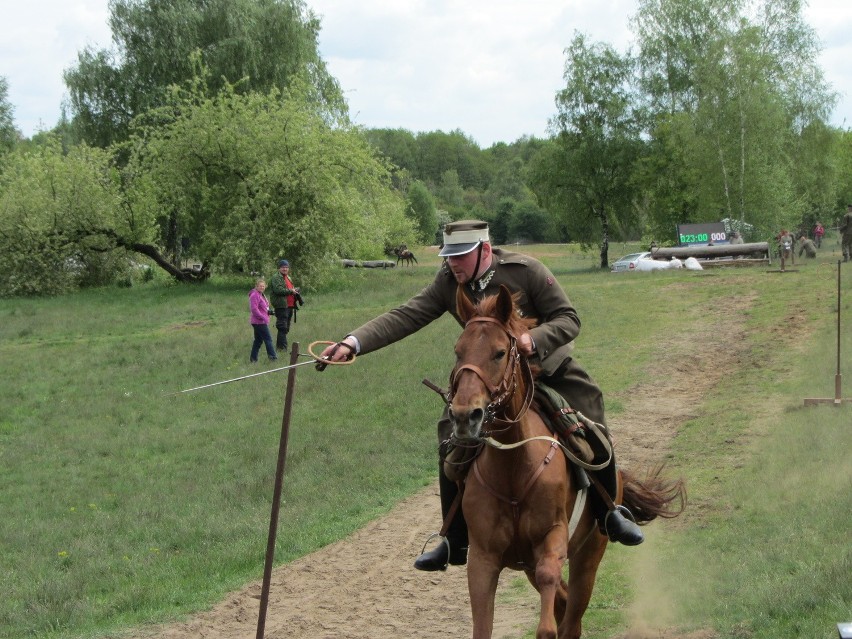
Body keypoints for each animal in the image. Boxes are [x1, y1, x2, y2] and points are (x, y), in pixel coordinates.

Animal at [450, 286, 684, 639]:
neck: (513, 468)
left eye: (499, 352)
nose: (465, 415)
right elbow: (483, 623)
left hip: (589, 555)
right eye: (458, 352)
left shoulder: (553, 539)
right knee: (562, 602)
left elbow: (549, 613)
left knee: (571, 615)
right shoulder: (483, 558)